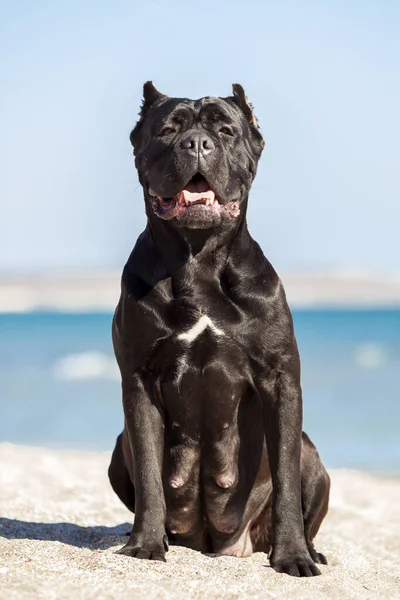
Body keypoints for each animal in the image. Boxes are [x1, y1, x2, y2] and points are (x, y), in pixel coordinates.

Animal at [108, 82, 330, 576]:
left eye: (226, 130)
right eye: (167, 130)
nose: (196, 143)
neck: (199, 259)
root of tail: (215, 540)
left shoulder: (280, 381)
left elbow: (286, 480)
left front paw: (292, 556)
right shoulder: (139, 381)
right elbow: (149, 473)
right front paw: (145, 544)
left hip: (312, 453)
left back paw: (309, 550)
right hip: (116, 452)